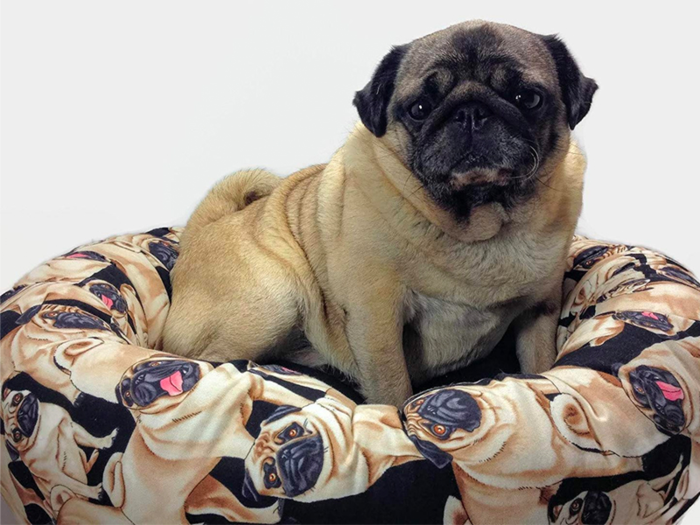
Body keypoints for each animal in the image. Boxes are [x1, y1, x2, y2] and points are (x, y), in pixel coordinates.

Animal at [164, 20, 596, 406]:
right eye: (419, 108)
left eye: (528, 98)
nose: (471, 113)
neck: (479, 223)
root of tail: (201, 229)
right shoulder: (377, 318)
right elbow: (392, 386)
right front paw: (396, 422)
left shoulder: (540, 312)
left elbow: (540, 367)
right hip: (277, 295)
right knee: (204, 360)